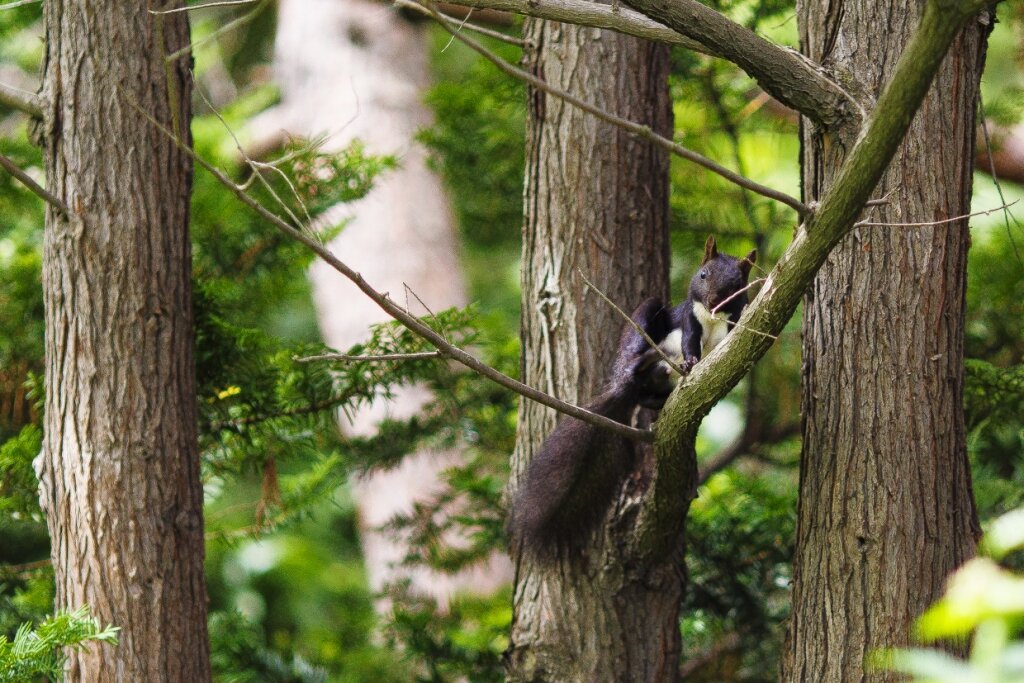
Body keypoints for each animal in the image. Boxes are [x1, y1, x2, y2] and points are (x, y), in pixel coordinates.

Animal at [507, 237, 757, 552]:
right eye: (703, 274)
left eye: (738, 285)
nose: (714, 302)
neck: (712, 320)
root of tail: (627, 387)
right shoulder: (689, 318)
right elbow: (689, 342)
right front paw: (690, 362)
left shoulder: (732, 328)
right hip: (641, 326)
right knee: (634, 357)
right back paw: (640, 363)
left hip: (653, 389)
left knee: (646, 397)